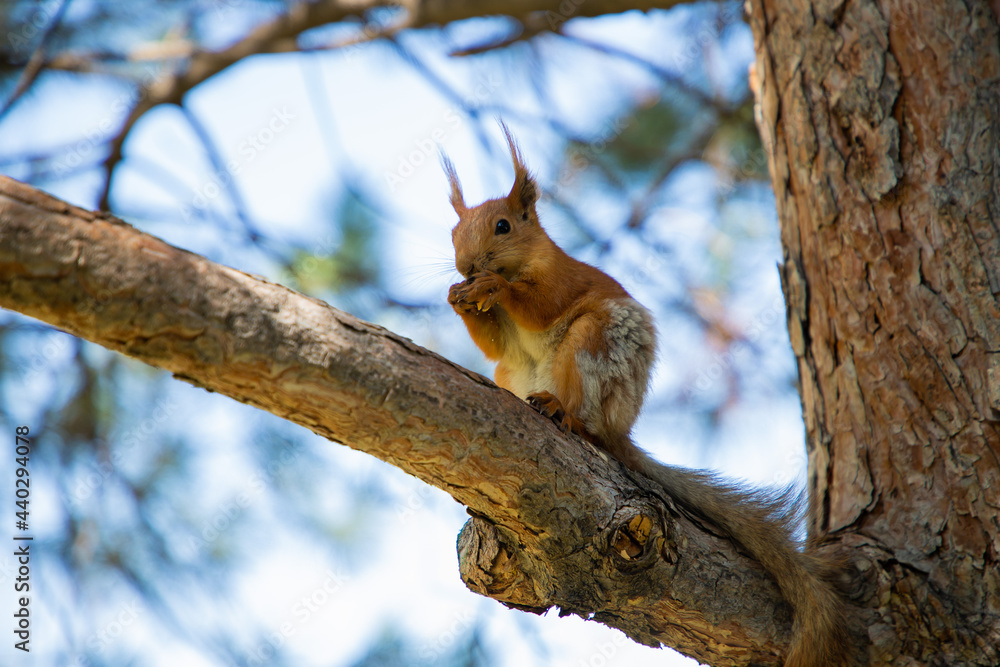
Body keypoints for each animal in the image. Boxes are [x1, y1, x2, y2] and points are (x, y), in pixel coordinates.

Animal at [443, 123, 849, 667]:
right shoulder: (502, 346)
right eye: (453, 233)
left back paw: (564, 412)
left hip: (594, 344)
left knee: (588, 419)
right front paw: (457, 296)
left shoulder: (561, 278)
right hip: (511, 372)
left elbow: (541, 303)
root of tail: (622, 431)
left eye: (504, 226)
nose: (466, 266)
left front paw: (492, 286)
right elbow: (493, 341)